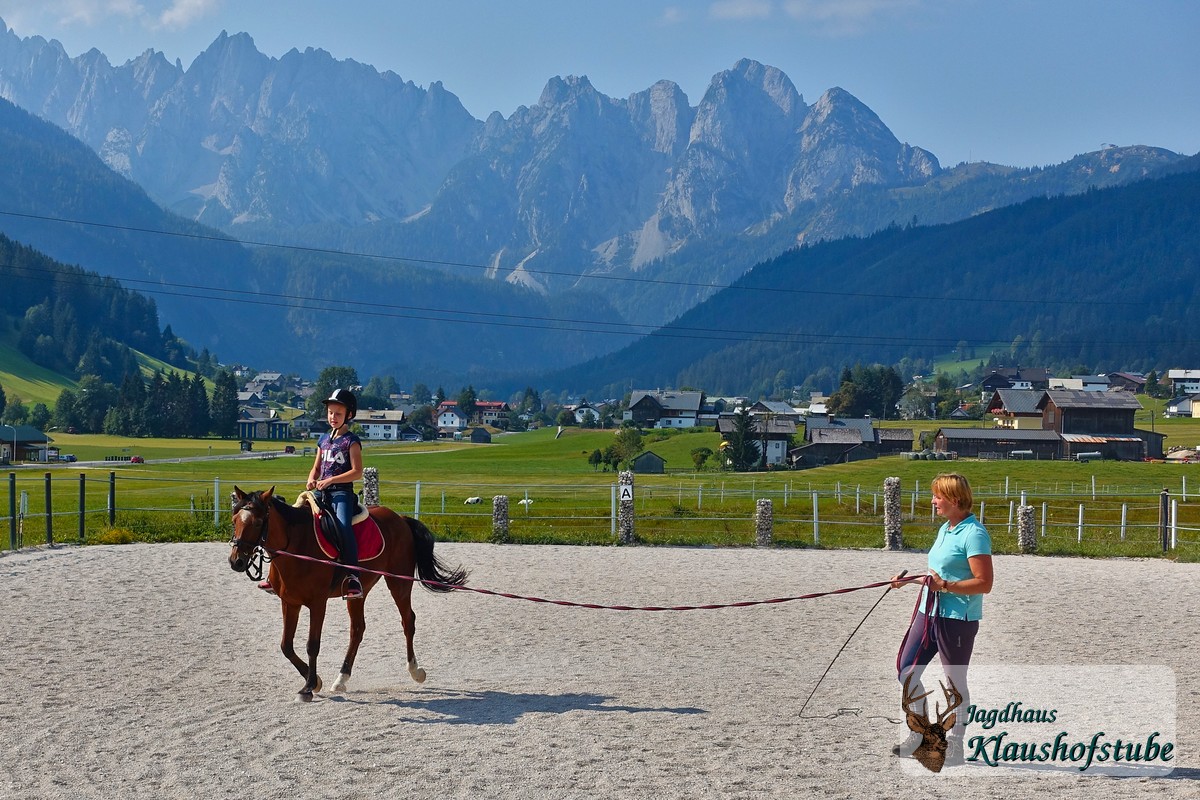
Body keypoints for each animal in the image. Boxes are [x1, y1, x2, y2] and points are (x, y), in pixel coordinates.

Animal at [229, 482, 468, 700]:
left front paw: (308, 687)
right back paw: (341, 679)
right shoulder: (290, 602)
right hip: (359, 593)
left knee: (407, 620)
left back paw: (415, 671)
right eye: (234, 521)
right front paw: (315, 681)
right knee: (357, 629)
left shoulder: (318, 603)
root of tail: (401, 518)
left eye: (257, 522)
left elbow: (312, 645)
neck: (296, 545)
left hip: (398, 583)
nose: (236, 561)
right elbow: (286, 646)